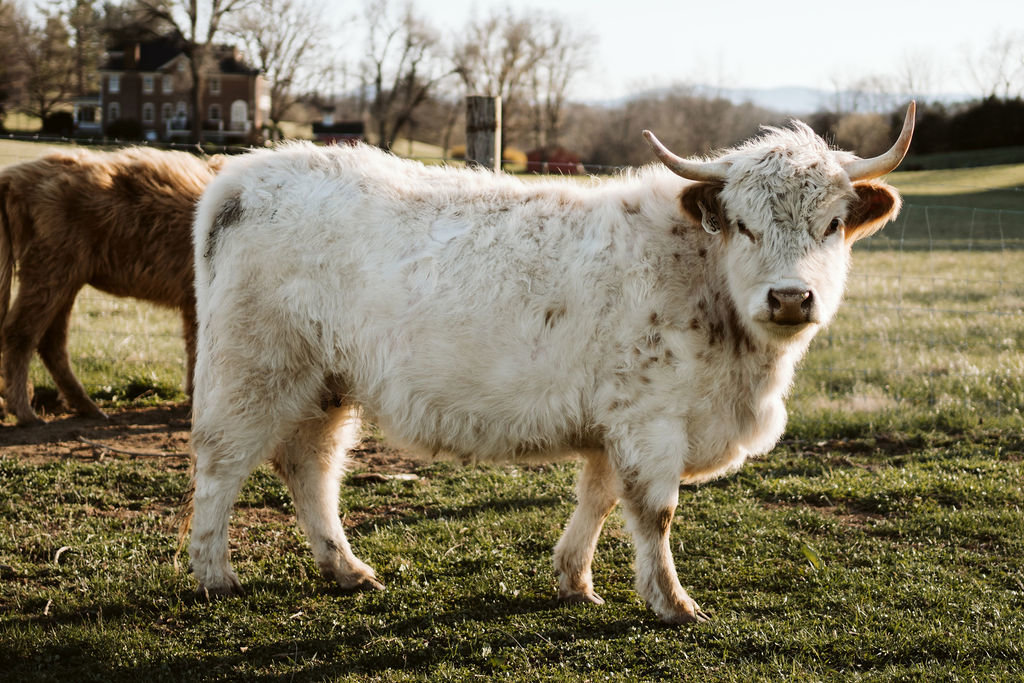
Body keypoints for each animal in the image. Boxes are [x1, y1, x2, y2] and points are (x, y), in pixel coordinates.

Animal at [0, 146, 221, 426]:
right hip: (48, 269)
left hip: (65, 276)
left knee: (52, 341)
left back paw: (88, 407)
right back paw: (25, 412)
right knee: (20, 332)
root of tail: (16, 175)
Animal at [186, 103, 915, 623]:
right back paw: (213, 572)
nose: (790, 297)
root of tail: (242, 177)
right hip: (253, 366)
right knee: (224, 462)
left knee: (309, 467)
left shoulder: (615, 420)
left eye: (832, 224)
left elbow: (599, 496)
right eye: (742, 223)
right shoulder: (650, 420)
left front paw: (574, 579)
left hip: (324, 382)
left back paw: (346, 569)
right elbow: (654, 510)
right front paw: (672, 602)